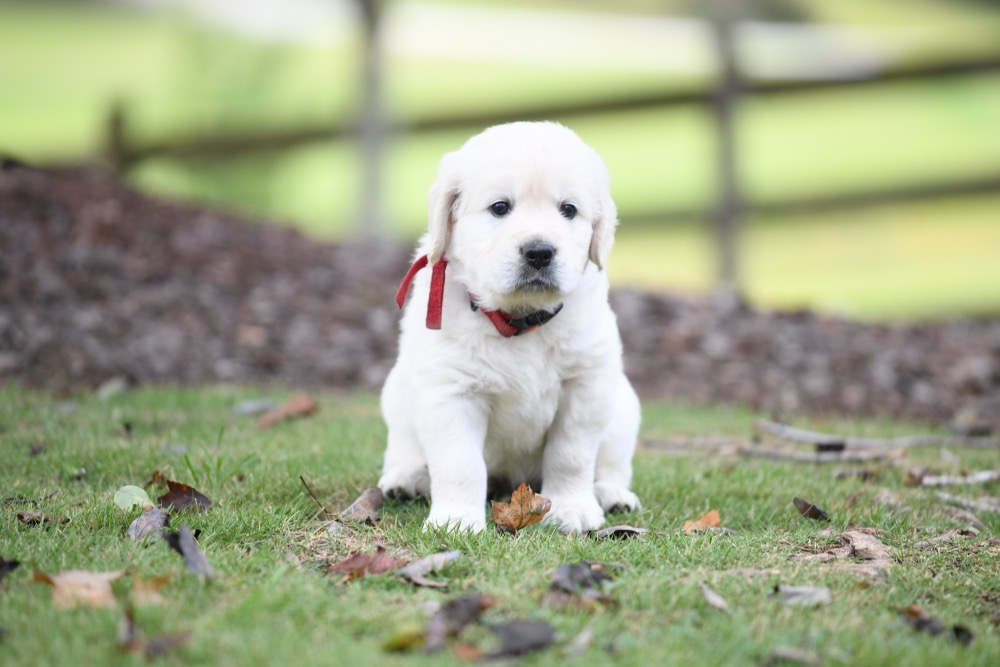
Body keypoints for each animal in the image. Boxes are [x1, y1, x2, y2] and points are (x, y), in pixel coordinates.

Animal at [376, 122, 640, 536]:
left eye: (569, 209)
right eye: (500, 207)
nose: (539, 252)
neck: (519, 318)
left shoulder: (585, 386)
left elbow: (571, 454)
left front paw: (573, 508)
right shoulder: (451, 391)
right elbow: (459, 462)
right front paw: (455, 520)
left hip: (624, 409)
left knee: (611, 466)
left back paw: (612, 494)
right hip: (396, 397)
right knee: (404, 449)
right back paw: (407, 479)